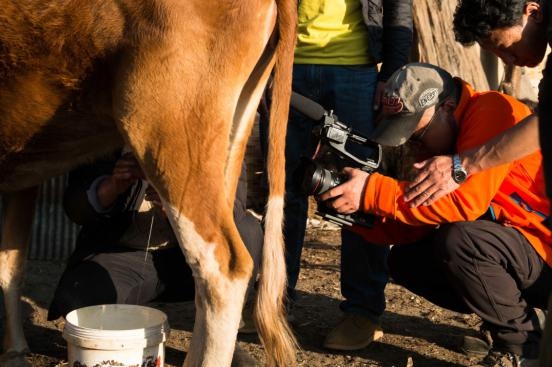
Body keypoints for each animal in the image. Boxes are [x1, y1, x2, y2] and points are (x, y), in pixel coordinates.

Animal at [0, 0, 298, 367]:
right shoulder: (24, 173)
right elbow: (11, 265)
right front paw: (14, 348)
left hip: (165, 131)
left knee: (223, 268)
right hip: (231, 132)